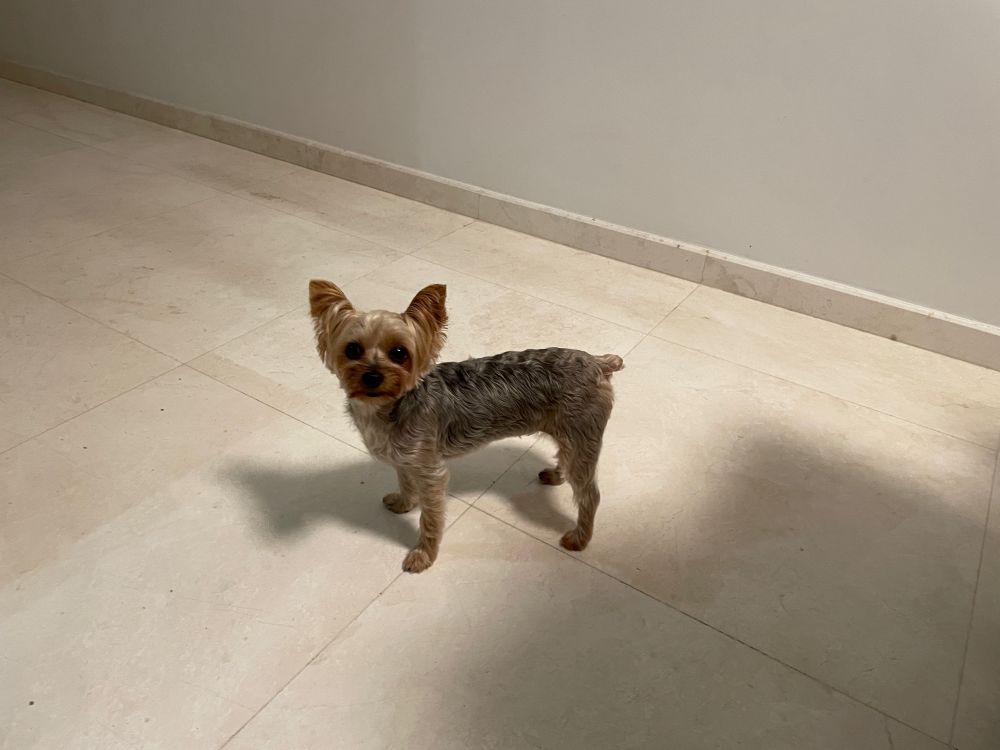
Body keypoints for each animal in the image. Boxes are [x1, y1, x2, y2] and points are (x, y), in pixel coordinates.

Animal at [309, 279, 623, 572]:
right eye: (352, 349)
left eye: (399, 352)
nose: (372, 377)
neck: (388, 407)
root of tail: (599, 363)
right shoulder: (404, 459)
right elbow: (405, 483)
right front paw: (402, 503)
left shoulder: (430, 469)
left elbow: (431, 516)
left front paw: (423, 555)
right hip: (568, 431)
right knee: (566, 458)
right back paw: (557, 475)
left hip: (582, 431)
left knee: (590, 494)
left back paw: (579, 538)